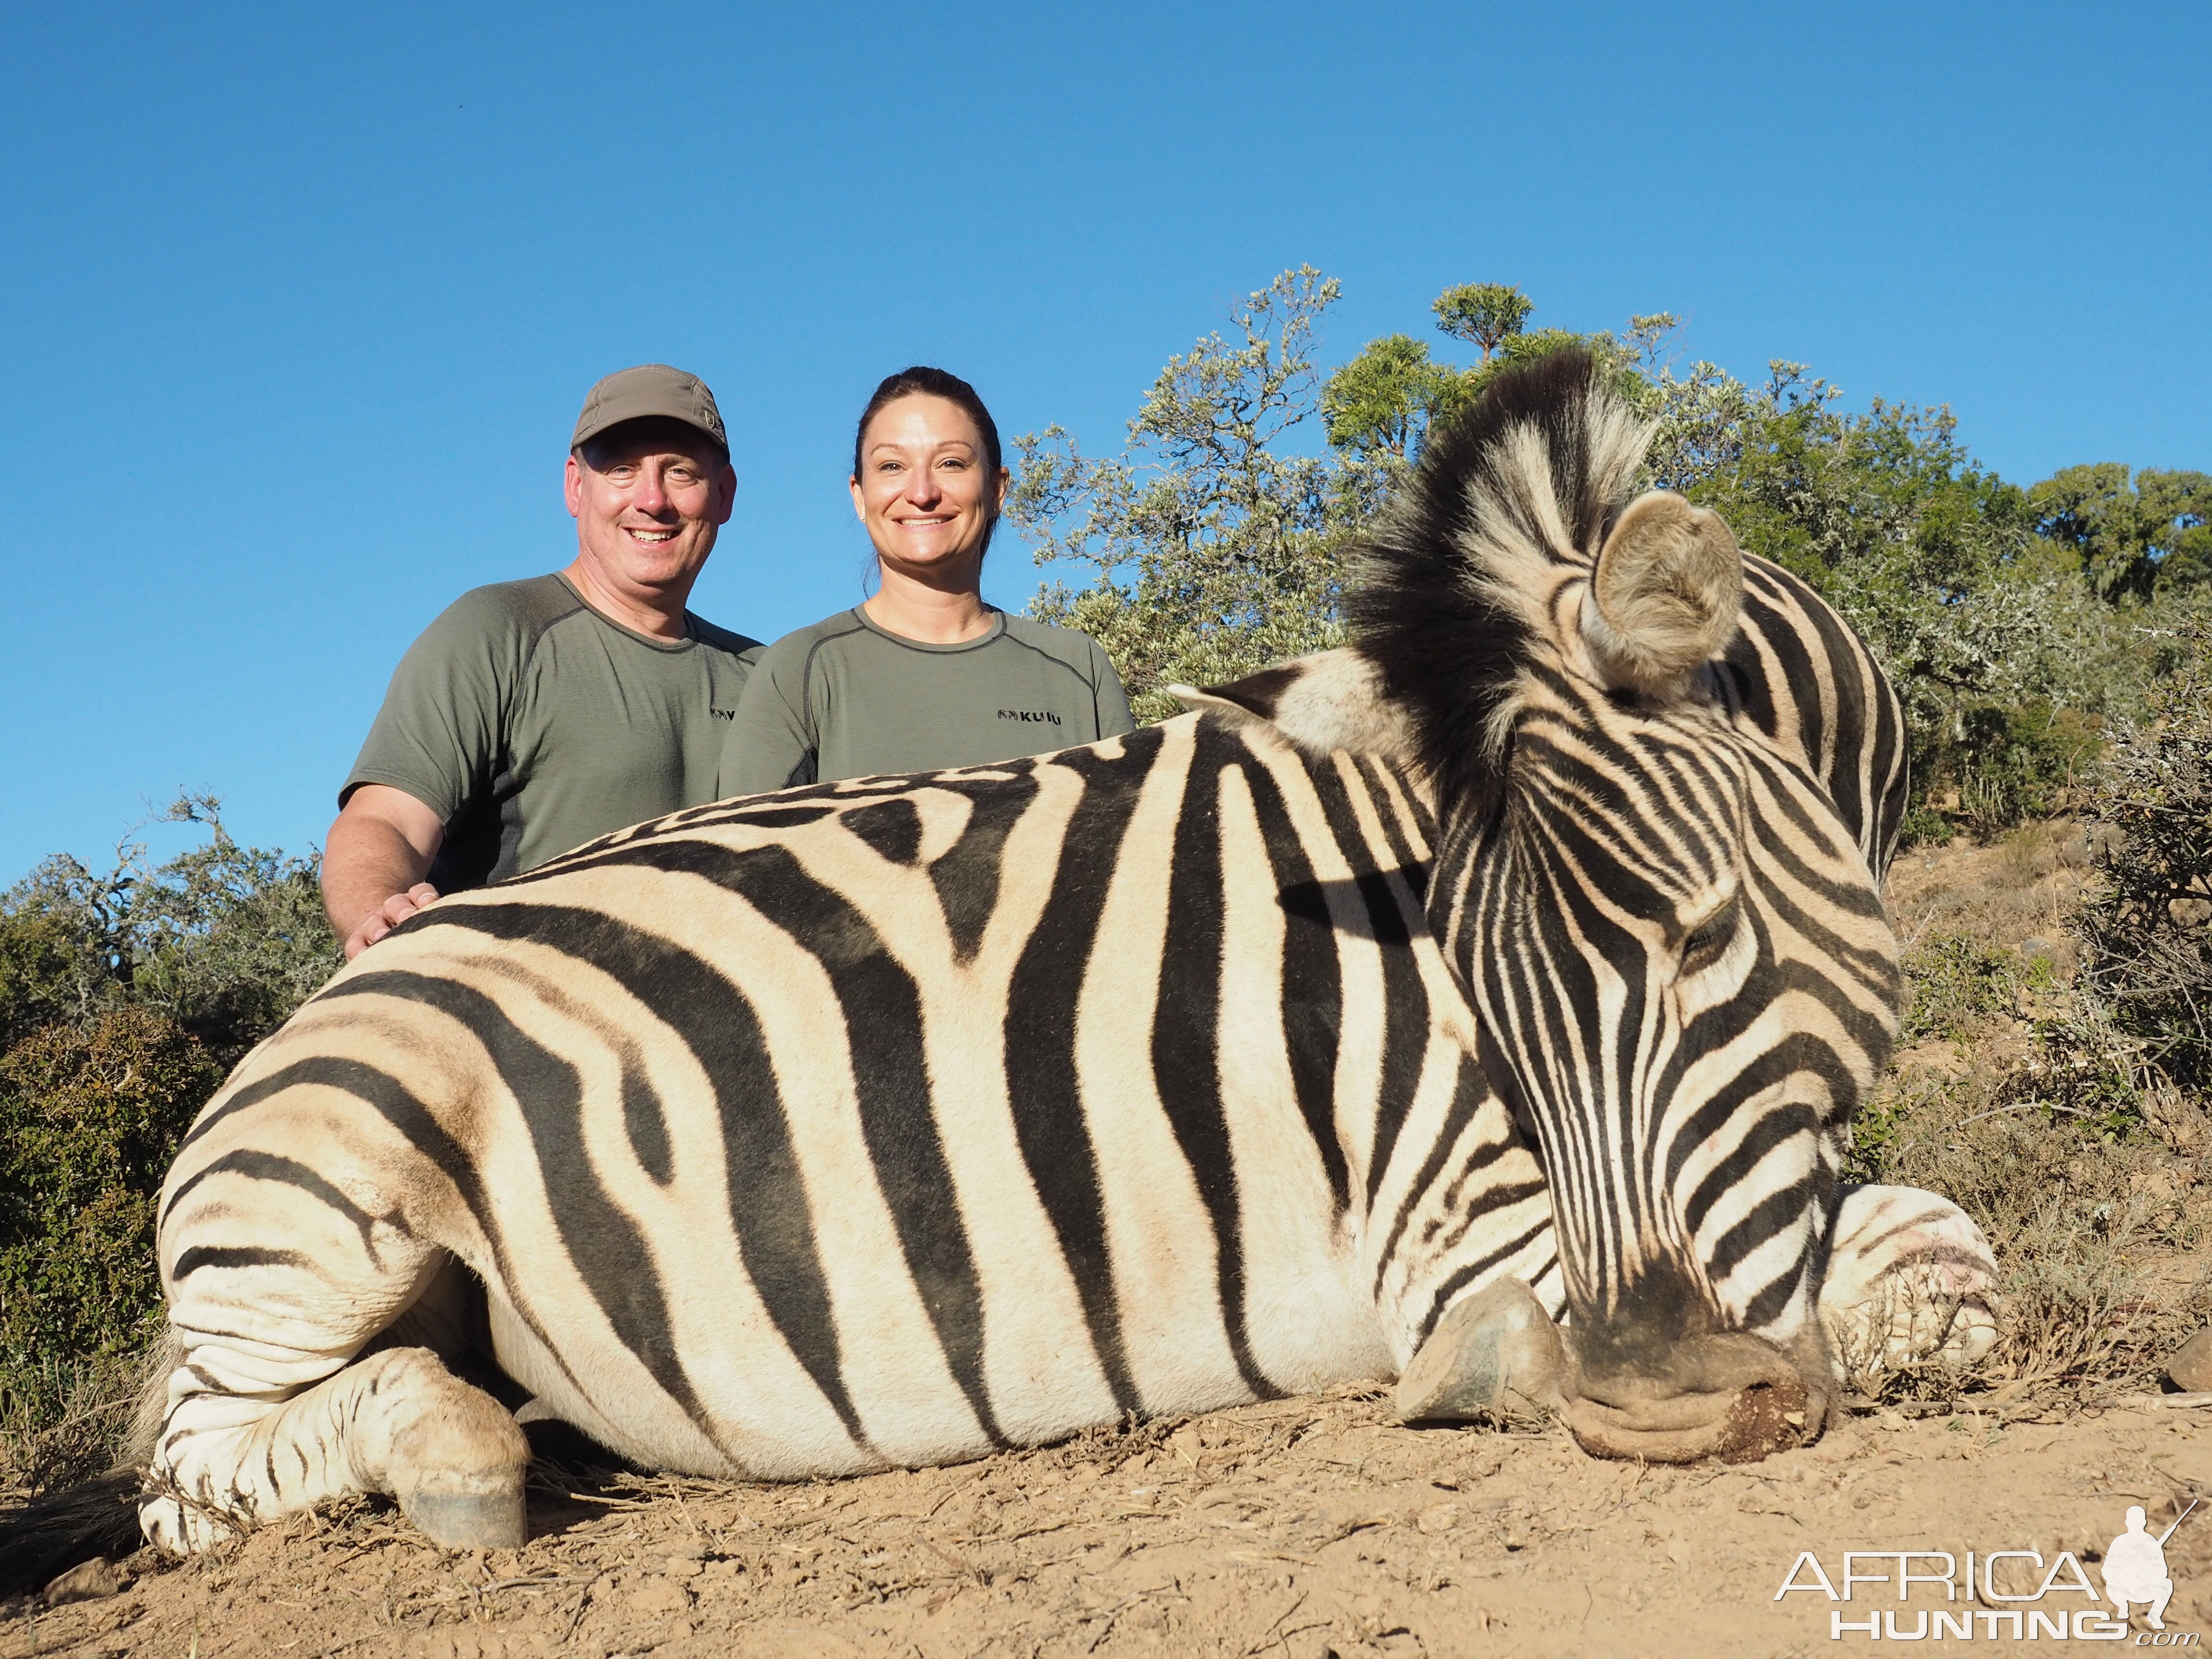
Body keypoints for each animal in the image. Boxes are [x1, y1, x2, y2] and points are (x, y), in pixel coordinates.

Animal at [138, 351, 1991, 1557]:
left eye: (1702, 935)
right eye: (1484, 1001)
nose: (1656, 1410)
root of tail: (318, 999)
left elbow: (1942, 1270)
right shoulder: (1451, 1214)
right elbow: (1912, 1276)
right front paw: (1483, 1373)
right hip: (326, 1213)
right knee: (190, 1477)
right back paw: (458, 1459)